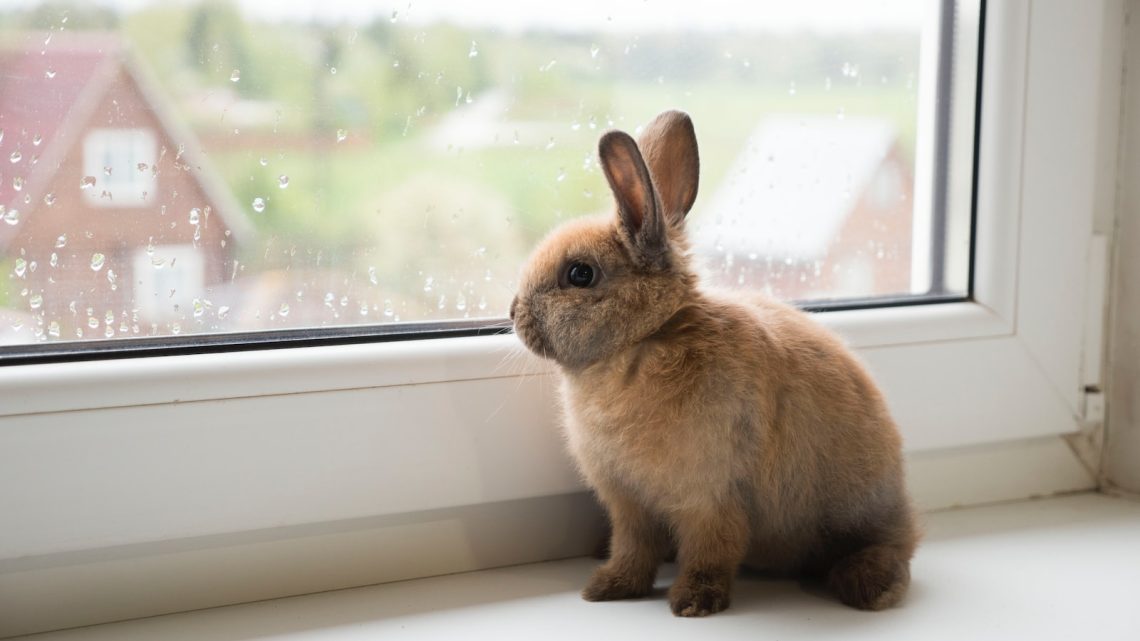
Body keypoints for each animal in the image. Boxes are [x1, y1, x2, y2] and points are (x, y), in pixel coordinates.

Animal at [508, 108, 916, 615]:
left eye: (580, 274)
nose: (513, 312)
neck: (645, 339)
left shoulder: (710, 497)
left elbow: (712, 550)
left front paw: (693, 602)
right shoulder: (629, 505)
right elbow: (632, 548)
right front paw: (608, 587)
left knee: (892, 550)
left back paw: (870, 586)